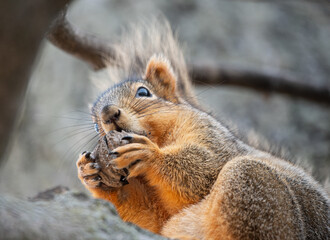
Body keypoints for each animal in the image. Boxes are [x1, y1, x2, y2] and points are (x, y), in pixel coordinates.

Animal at [75, 20, 330, 240]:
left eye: (144, 92)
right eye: (96, 125)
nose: (108, 114)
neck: (161, 138)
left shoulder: (212, 136)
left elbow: (206, 169)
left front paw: (149, 154)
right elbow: (150, 219)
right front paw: (90, 173)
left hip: (257, 190)